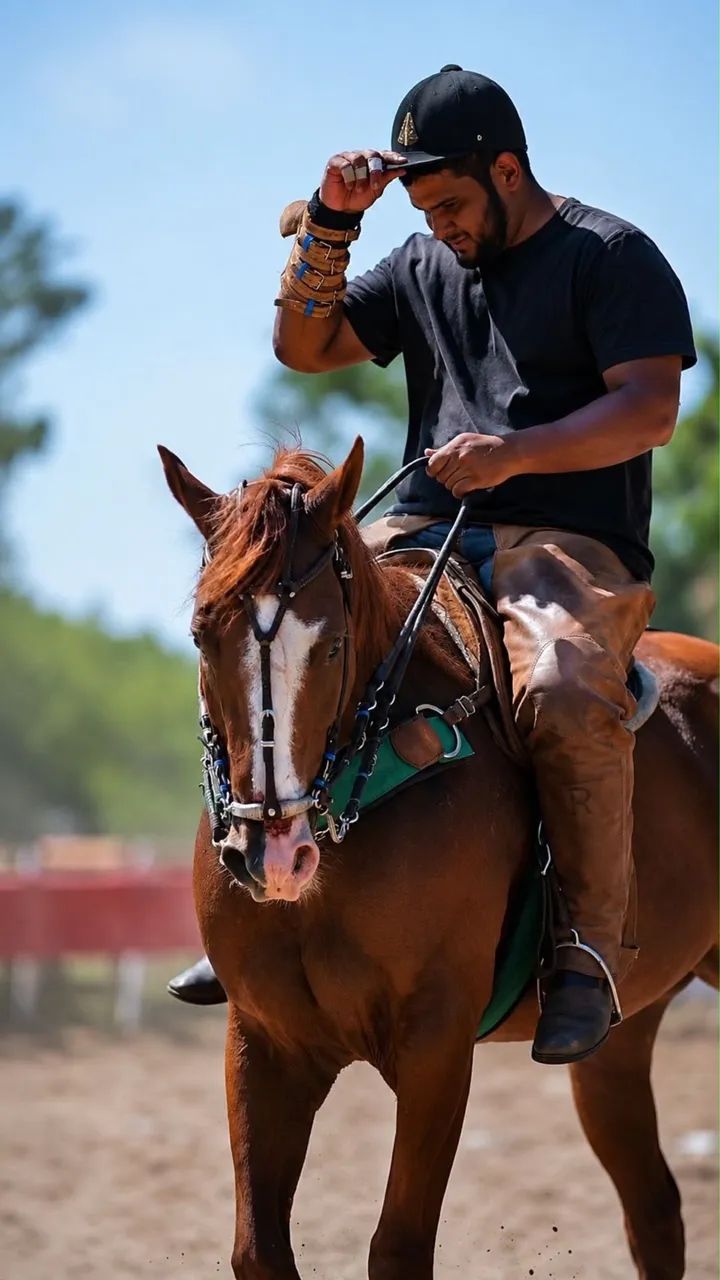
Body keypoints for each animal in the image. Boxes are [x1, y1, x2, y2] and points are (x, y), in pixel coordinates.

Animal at [159, 437, 718, 1280]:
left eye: (331, 644)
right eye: (200, 636)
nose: (273, 854)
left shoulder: (436, 1043)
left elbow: (397, 1248)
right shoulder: (264, 1042)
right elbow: (259, 1250)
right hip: (619, 1044)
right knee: (654, 1213)